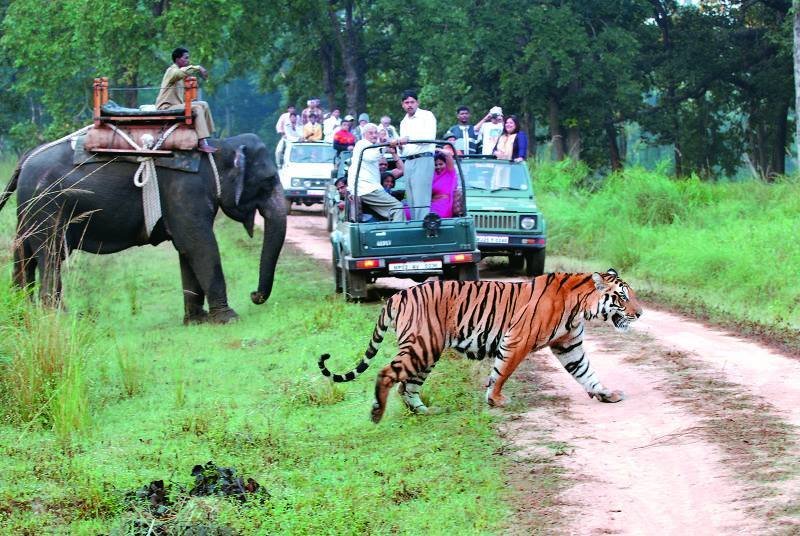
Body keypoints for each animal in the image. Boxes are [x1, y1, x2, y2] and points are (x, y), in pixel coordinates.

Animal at [318, 269, 643, 423]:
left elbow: (586, 372)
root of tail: (398, 295)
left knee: (406, 386)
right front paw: (495, 399)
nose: (640, 313)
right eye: (622, 297)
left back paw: (424, 412)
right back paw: (376, 413)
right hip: (423, 346)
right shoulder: (517, 340)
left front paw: (606, 394)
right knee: (387, 374)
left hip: (426, 351)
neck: (580, 307)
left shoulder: (569, 346)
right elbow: (502, 371)